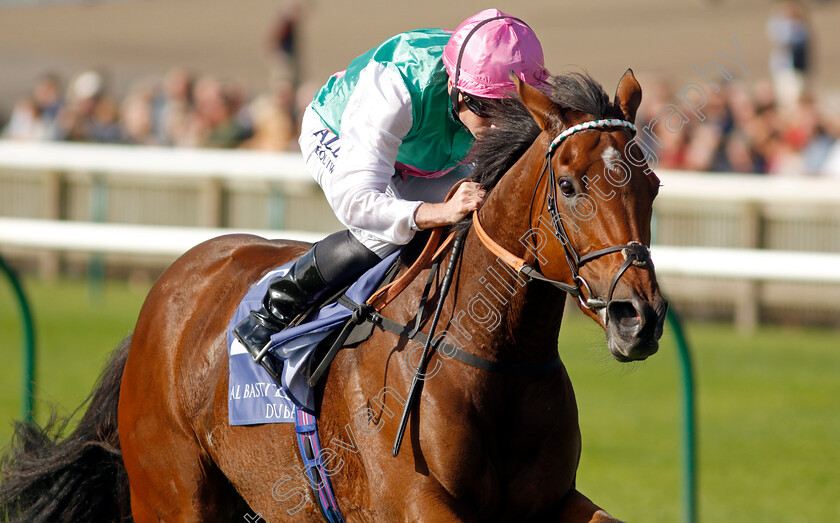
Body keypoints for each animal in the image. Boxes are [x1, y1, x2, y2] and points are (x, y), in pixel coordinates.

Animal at [1, 70, 668, 523]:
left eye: (654, 183)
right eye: (569, 185)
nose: (639, 318)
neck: (493, 357)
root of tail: (167, 289)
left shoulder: (554, 502)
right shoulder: (413, 501)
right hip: (173, 494)